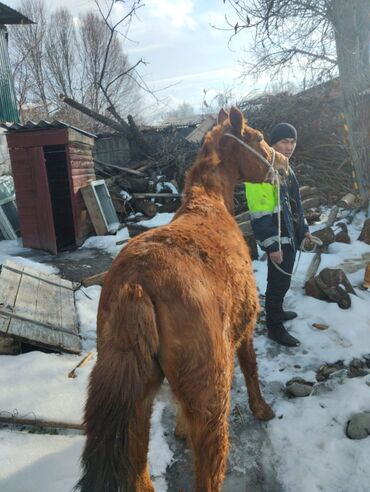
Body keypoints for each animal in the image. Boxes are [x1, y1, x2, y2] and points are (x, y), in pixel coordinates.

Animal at [75, 107, 288, 492]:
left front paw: (179, 429)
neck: (210, 207)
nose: (284, 164)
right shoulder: (246, 327)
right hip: (212, 397)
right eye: (259, 138)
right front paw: (262, 409)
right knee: (208, 469)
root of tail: (136, 282)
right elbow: (251, 367)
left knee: (137, 465)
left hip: (138, 400)